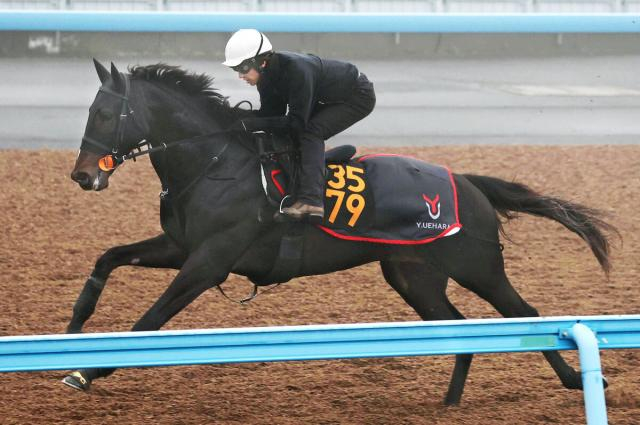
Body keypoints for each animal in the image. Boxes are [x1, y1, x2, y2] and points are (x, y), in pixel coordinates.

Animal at [65, 59, 616, 404]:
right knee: (460, 328)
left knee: (525, 313)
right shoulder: (181, 247)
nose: (83, 176)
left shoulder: (208, 261)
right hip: (413, 274)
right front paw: (71, 335)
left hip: (477, 266)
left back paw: (578, 381)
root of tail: (466, 182)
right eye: (89, 110)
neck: (213, 162)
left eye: (106, 113)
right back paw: (450, 402)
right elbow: (106, 259)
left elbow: (150, 320)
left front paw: (87, 370)